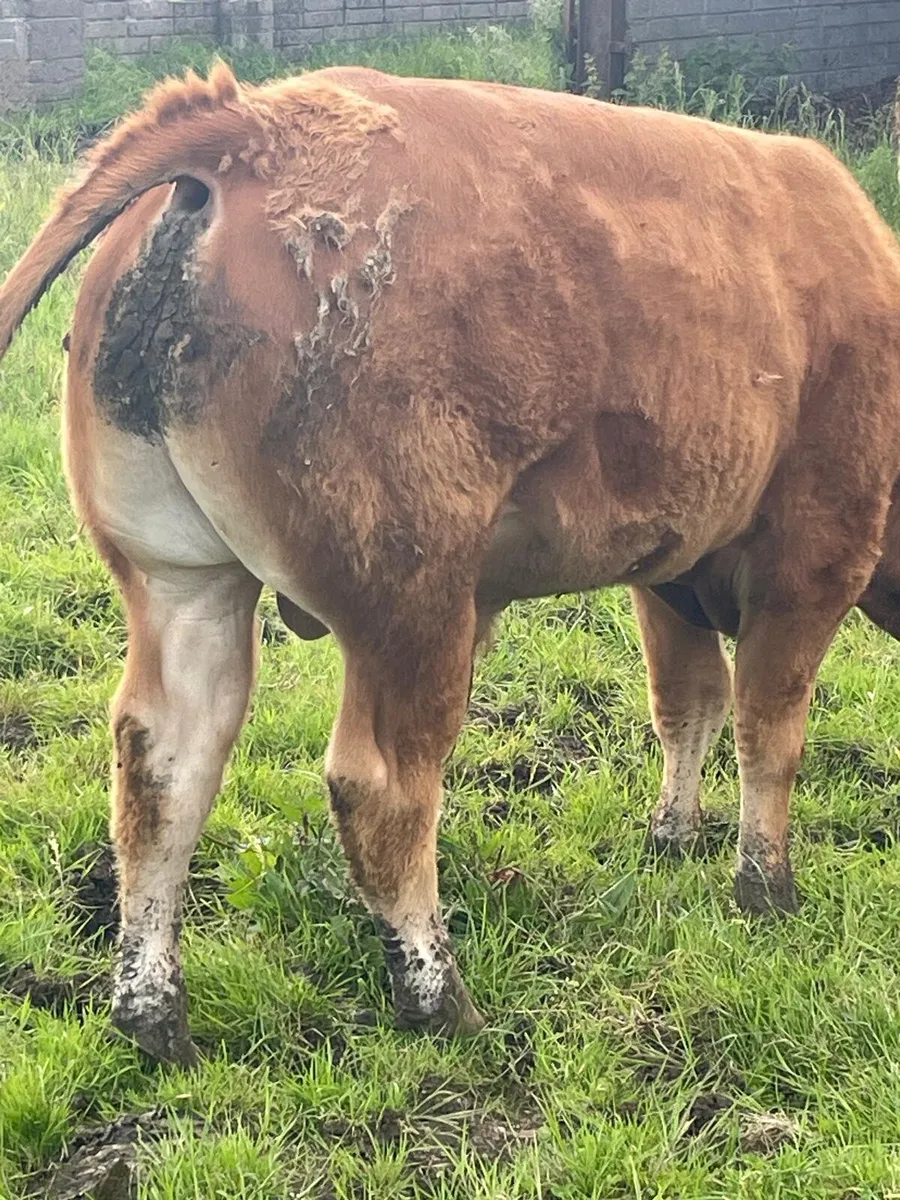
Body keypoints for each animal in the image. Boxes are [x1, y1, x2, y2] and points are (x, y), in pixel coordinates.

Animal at [2, 63, 900, 1067]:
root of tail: (251, 122)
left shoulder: (667, 573)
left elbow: (688, 707)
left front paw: (672, 835)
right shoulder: (814, 556)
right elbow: (768, 732)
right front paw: (767, 889)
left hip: (181, 581)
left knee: (162, 764)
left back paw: (154, 1016)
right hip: (418, 601)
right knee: (382, 787)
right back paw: (438, 997)